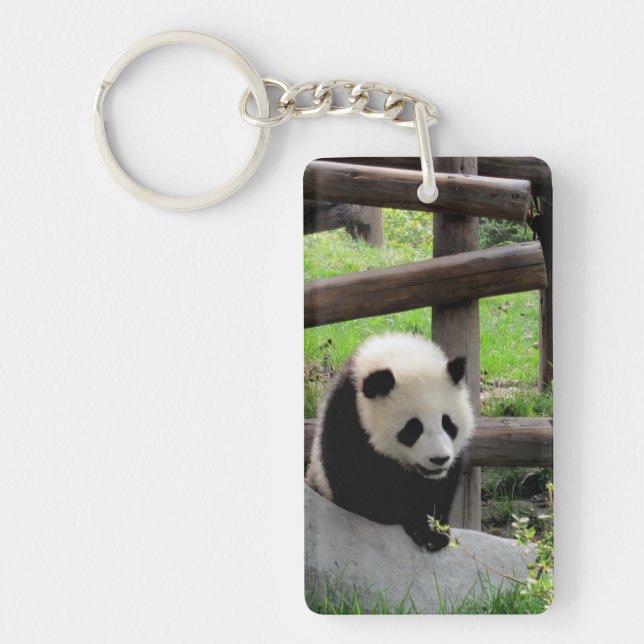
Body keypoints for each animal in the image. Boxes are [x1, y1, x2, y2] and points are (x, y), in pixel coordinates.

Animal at [306, 333, 475, 551]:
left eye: (447, 423)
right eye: (413, 429)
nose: (439, 459)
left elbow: (440, 486)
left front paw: (432, 533)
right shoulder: (348, 418)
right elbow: (362, 488)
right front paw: (407, 518)